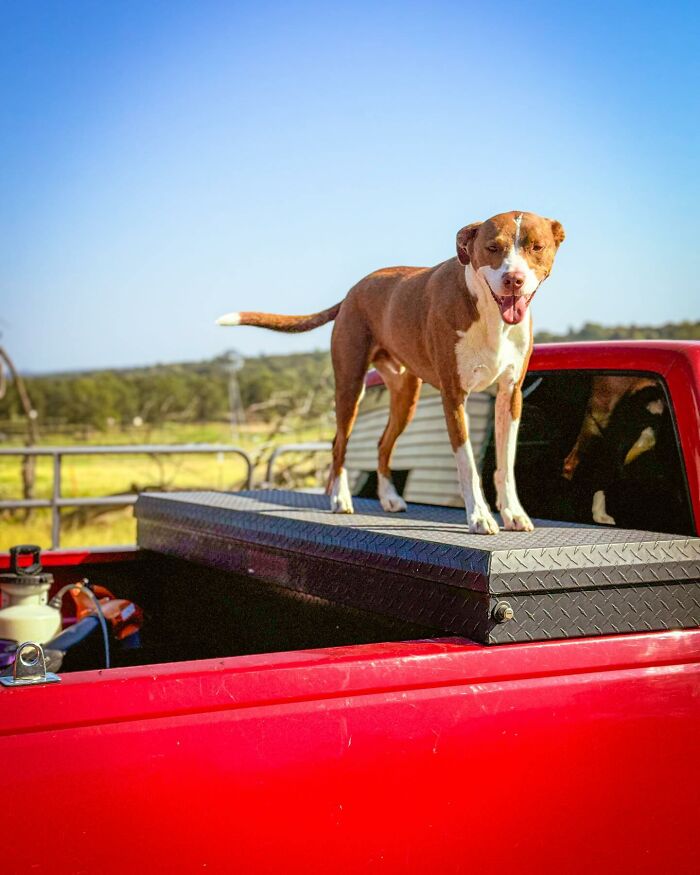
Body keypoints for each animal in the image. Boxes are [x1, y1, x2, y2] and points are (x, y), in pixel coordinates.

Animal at [219, 212, 564, 532]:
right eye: (493, 247)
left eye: (536, 247)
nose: (513, 279)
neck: (491, 314)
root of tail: (352, 291)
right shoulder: (454, 395)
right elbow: (467, 461)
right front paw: (479, 515)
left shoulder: (510, 395)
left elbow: (505, 463)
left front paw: (513, 514)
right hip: (350, 385)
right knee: (339, 443)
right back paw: (340, 499)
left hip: (405, 396)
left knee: (382, 444)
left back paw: (388, 497)